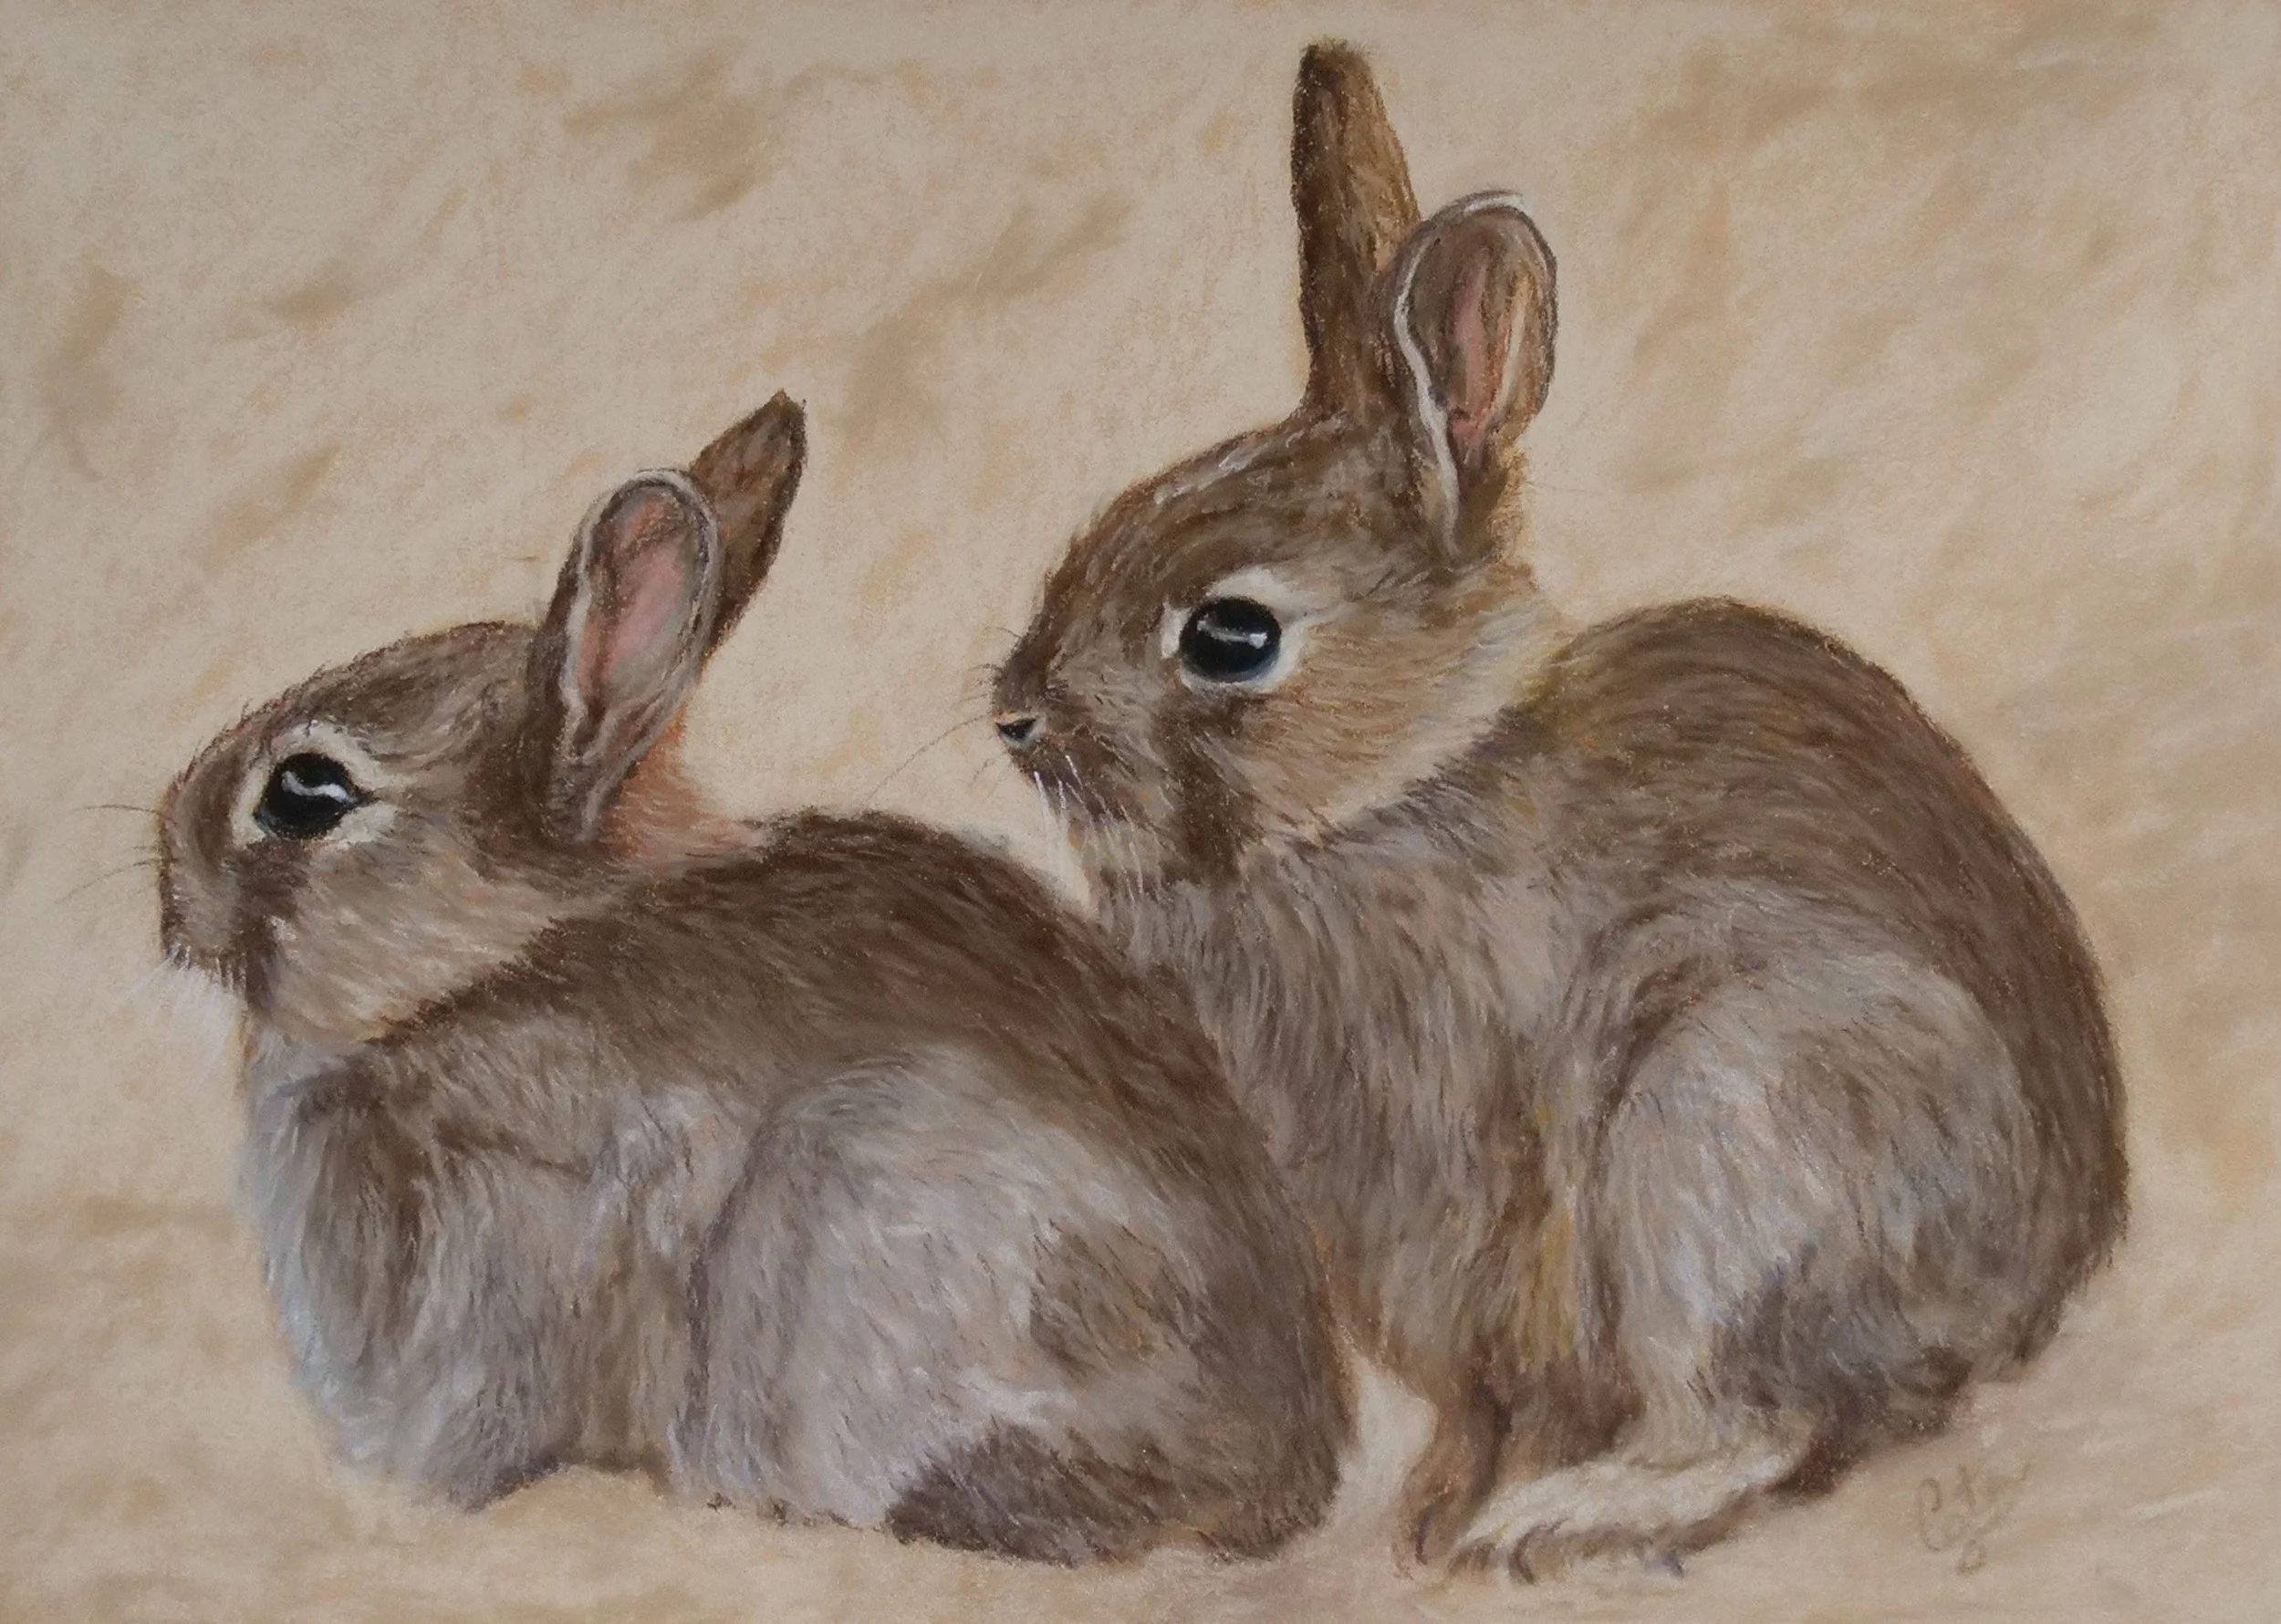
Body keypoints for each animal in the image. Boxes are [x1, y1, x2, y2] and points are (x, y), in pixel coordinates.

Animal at [989, 43, 2126, 1578]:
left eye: (1230, 637)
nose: (1018, 716)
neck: (1396, 783)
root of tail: (2043, 1289)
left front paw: (1463, 1519)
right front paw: (1422, 1515)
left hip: (1732, 1130)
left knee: (1758, 1422)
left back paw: (1568, 1517)